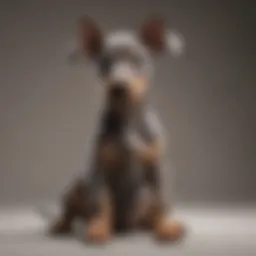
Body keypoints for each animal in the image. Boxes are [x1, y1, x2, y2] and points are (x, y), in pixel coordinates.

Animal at [49, 15, 186, 243]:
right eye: (105, 62)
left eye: (137, 60)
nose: (118, 87)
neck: (127, 118)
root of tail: (125, 225)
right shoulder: (100, 169)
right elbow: (103, 202)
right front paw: (98, 228)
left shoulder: (157, 166)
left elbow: (161, 201)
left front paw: (166, 226)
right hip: (78, 186)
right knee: (71, 210)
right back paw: (61, 224)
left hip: (142, 199)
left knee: (149, 211)